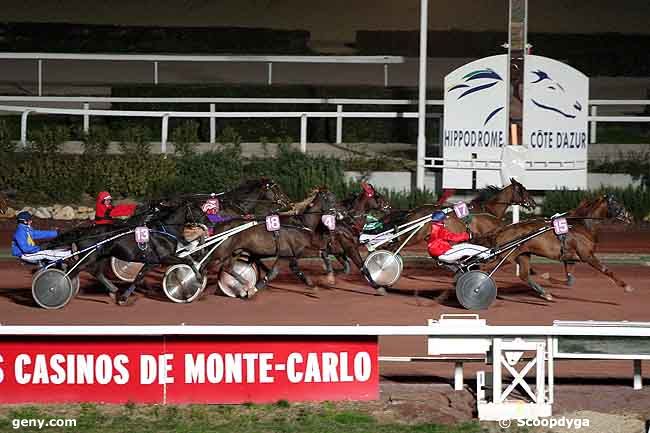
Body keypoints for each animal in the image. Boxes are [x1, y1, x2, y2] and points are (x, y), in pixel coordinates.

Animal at [476, 194, 632, 298]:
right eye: (616, 204)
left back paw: (545, 294)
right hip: (506, 257)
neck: (581, 225)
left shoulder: (570, 257)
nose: (630, 217)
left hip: (523, 255)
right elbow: (606, 270)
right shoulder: (587, 256)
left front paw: (548, 278)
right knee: (484, 268)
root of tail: (503, 229)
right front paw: (626, 286)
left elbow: (569, 279)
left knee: (524, 275)